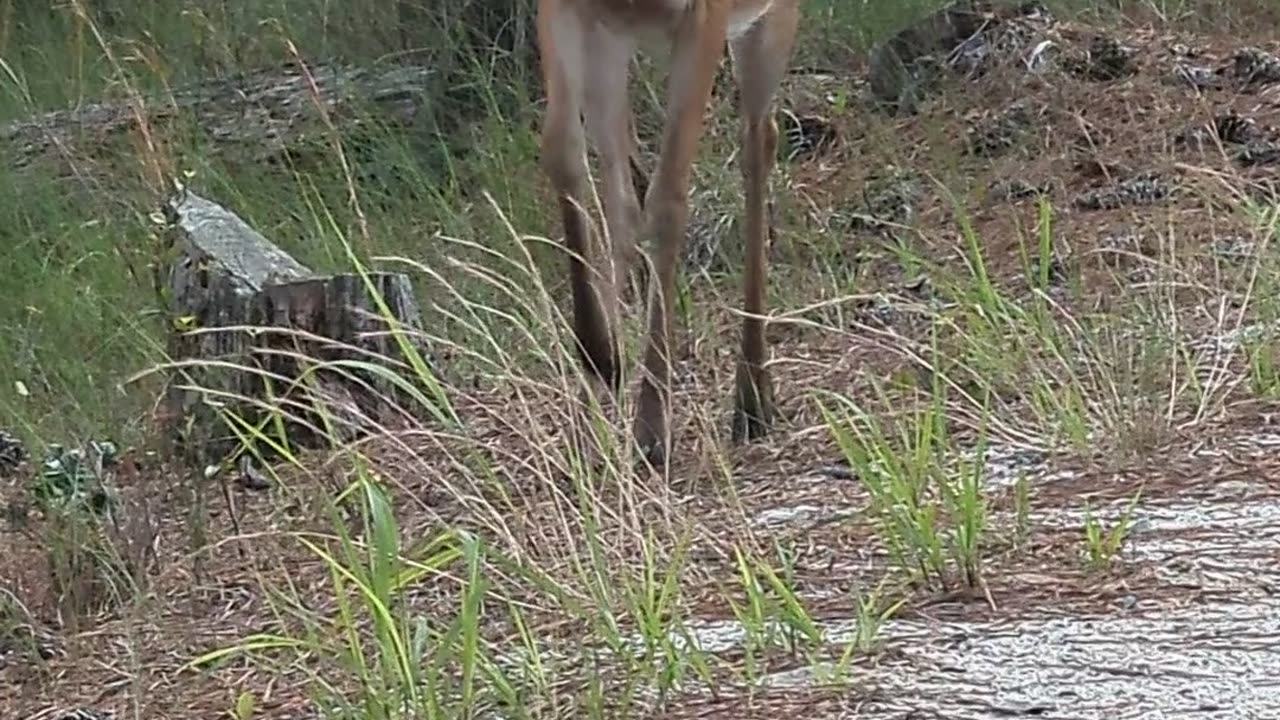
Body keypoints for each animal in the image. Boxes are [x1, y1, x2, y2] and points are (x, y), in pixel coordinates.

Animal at [537, 0, 798, 466]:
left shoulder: (705, 17)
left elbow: (669, 196)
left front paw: (651, 427)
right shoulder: (562, 10)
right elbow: (562, 153)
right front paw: (602, 359)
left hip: (770, 21)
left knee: (758, 140)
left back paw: (752, 398)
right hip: (611, 37)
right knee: (621, 194)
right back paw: (593, 412)